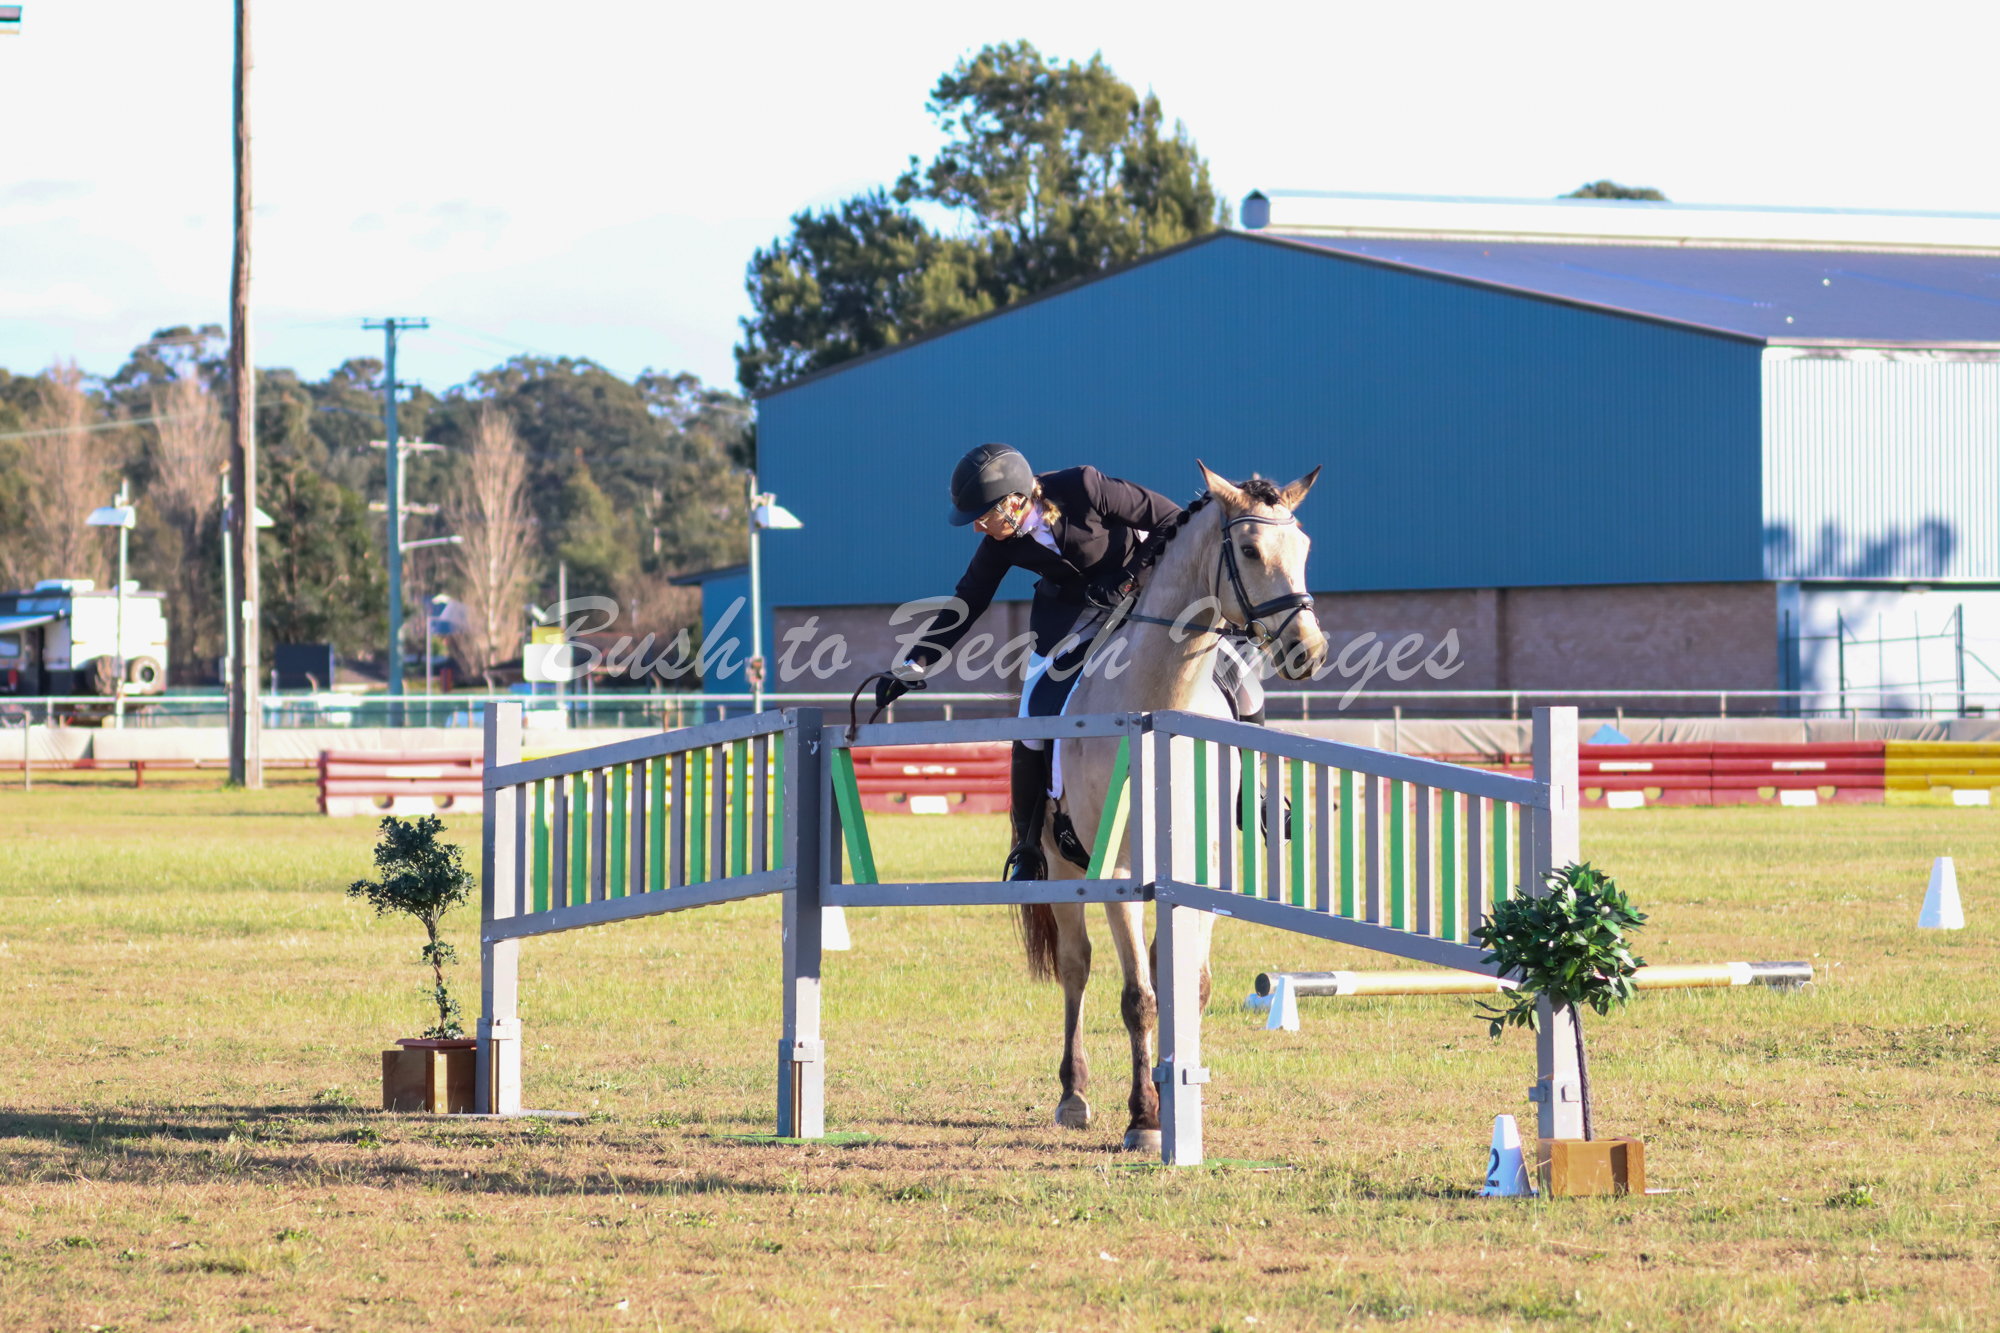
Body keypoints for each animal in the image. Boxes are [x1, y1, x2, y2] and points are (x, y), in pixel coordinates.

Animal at [1020, 461, 1327, 1153]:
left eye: (1305, 548)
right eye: (1249, 550)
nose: (1308, 650)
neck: (1161, 706)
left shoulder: (1198, 868)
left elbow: (1191, 985)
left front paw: (1180, 1097)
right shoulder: (1117, 874)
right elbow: (1138, 996)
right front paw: (1144, 1118)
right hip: (1061, 864)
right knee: (1076, 968)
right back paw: (1073, 1094)